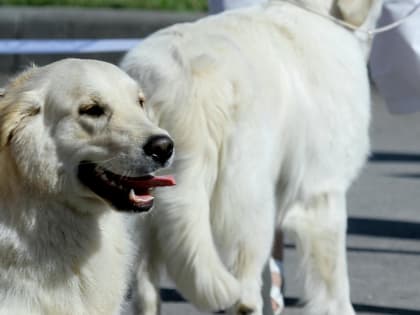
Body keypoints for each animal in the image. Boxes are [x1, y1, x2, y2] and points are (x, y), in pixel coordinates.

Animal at [120, 1, 370, 314]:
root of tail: (184, 80)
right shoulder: (322, 192)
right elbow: (334, 281)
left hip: (141, 211)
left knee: (144, 289)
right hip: (249, 200)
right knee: (243, 290)